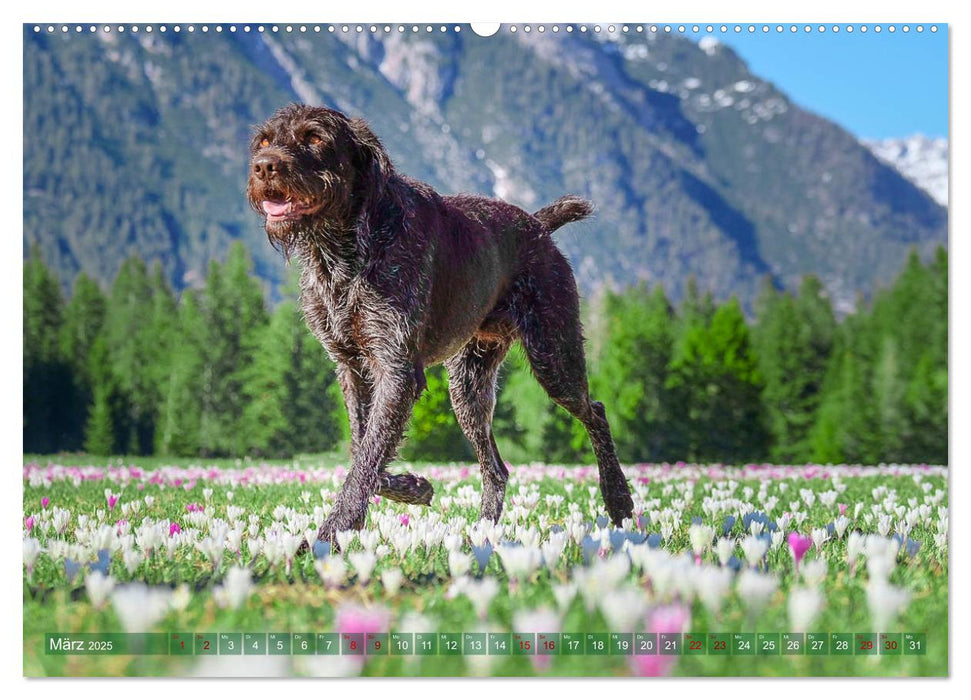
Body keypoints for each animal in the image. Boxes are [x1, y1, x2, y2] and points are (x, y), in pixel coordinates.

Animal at [247, 102, 636, 548]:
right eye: (263, 140)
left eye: (315, 138)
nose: (264, 166)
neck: (339, 250)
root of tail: (537, 226)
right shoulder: (352, 368)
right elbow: (363, 449)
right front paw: (413, 487)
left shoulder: (396, 370)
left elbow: (365, 462)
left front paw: (329, 536)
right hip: (468, 386)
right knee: (497, 469)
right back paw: (483, 533)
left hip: (553, 358)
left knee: (596, 412)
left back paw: (619, 500)